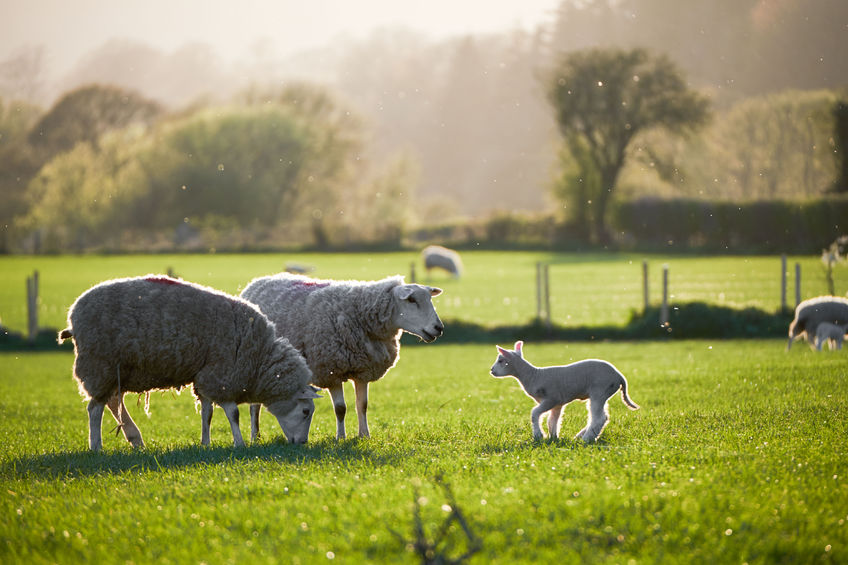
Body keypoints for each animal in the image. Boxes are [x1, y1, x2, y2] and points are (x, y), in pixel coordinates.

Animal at [57, 274, 322, 450]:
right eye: (306, 411)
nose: (302, 443)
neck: (259, 357)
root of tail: (73, 316)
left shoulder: (205, 375)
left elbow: (207, 413)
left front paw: (206, 443)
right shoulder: (222, 374)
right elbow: (233, 413)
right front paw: (238, 443)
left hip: (113, 370)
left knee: (111, 401)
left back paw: (135, 439)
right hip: (99, 364)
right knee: (95, 409)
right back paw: (97, 446)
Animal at [238, 274, 444, 440]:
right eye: (412, 300)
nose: (439, 328)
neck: (359, 313)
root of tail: (255, 282)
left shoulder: (363, 371)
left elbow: (362, 405)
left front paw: (364, 435)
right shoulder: (331, 371)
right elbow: (340, 409)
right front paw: (341, 437)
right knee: (254, 406)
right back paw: (255, 436)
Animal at [486, 340, 640, 440]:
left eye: (501, 360)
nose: (492, 370)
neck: (533, 375)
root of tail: (619, 376)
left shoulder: (551, 398)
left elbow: (535, 413)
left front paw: (538, 435)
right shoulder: (558, 403)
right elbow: (552, 419)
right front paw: (553, 437)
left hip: (599, 391)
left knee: (599, 418)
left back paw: (586, 439)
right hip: (603, 393)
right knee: (603, 417)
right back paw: (580, 436)